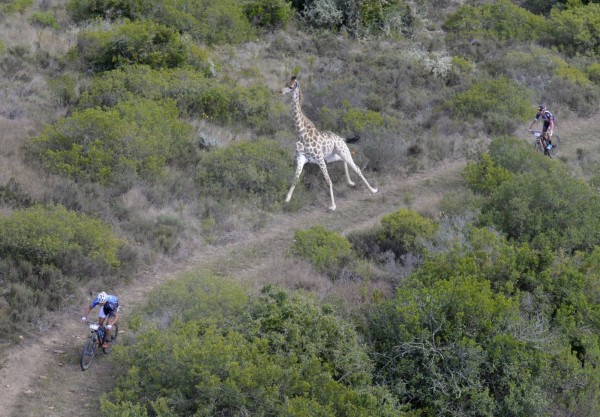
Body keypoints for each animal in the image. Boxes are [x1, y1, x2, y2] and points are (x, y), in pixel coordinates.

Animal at [280, 75, 376, 211]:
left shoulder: (319, 158)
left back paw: (373, 190)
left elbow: (328, 181)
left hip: (342, 151)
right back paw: (350, 182)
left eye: (290, 86)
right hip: (331, 156)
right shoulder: (301, 158)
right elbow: (295, 179)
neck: (301, 134)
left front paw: (333, 206)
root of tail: (341, 138)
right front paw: (286, 200)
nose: (280, 91)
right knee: (343, 161)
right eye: (285, 83)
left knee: (356, 168)